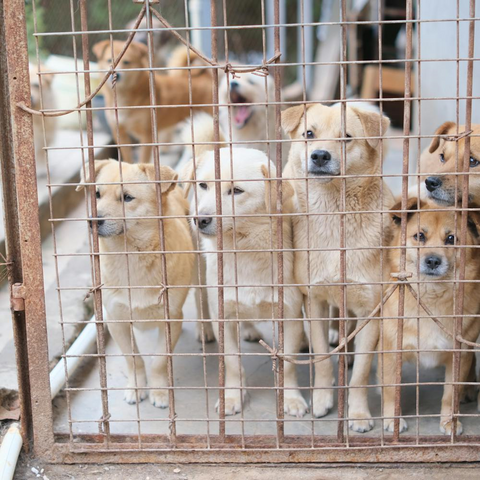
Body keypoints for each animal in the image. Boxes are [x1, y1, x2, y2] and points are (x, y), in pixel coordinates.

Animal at [77, 159, 193, 406]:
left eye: (127, 197)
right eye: (97, 194)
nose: (92, 221)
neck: (130, 255)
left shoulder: (171, 318)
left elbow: (158, 361)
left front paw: (159, 392)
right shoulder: (116, 320)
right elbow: (133, 359)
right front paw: (137, 387)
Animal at [180, 148, 308, 418]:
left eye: (236, 191)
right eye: (203, 185)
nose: (200, 220)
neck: (245, 250)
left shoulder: (291, 316)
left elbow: (288, 365)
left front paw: (291, 398)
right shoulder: (223, 317)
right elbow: (231, 363)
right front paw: (232, 397)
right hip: (199, 270)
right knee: (199, 297)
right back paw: (203, 329)